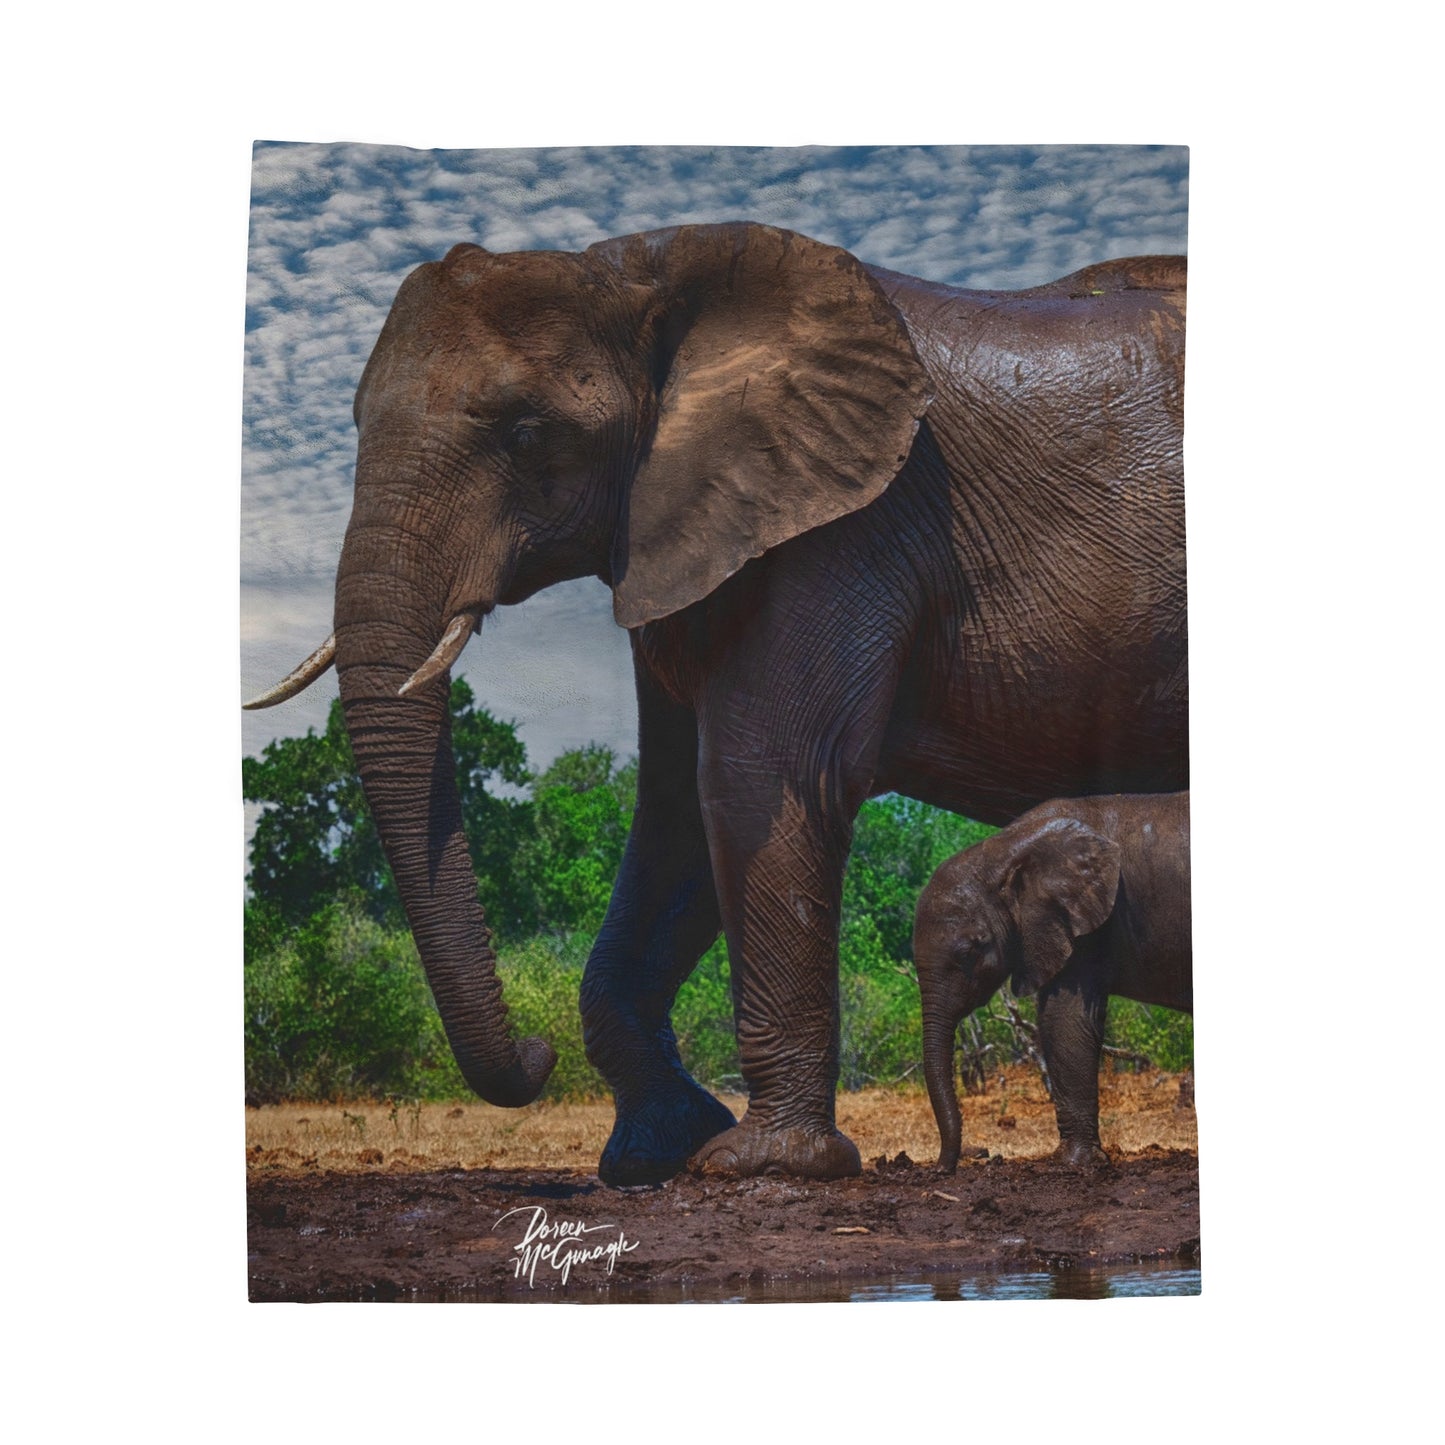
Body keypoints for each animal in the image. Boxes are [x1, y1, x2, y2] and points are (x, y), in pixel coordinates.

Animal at [917, 792, 1192, 1170]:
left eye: (969, 952)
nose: (943, 1169)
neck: (1004, 850)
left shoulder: (1088, 925)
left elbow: (1063, 1022)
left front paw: (1073, 1164)